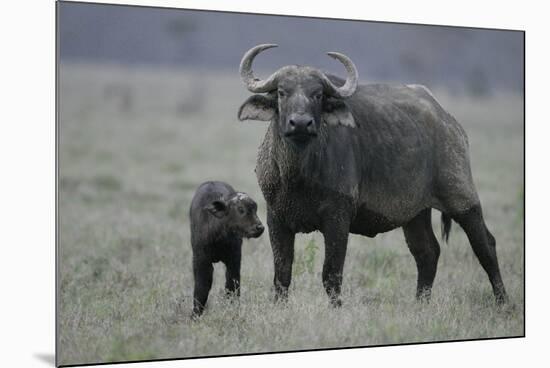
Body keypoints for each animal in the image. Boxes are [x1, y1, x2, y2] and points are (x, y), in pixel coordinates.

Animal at [236, 43, 508, 308]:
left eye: (318, 94)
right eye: (282, 92)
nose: (301, 123)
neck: (298, 176)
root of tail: (450, 123)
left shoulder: (337, 218)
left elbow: (331, 273)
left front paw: (336, 308)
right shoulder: (276, 218)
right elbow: (282, 274)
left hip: (461, 196)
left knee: (485, 245)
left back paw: (502, 301)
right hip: (415, 212)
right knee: (427, 252)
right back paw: (421, 303)